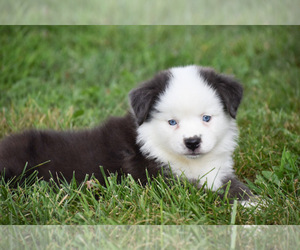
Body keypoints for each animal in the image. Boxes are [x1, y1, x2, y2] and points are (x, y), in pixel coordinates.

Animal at [0, 65, 252, 200]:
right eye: (172, 122)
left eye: (206, 118)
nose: (192, 142)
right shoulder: (159, 181)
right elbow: (205, 194)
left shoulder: (219, 172)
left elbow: (235, 186)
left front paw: (254, 203)